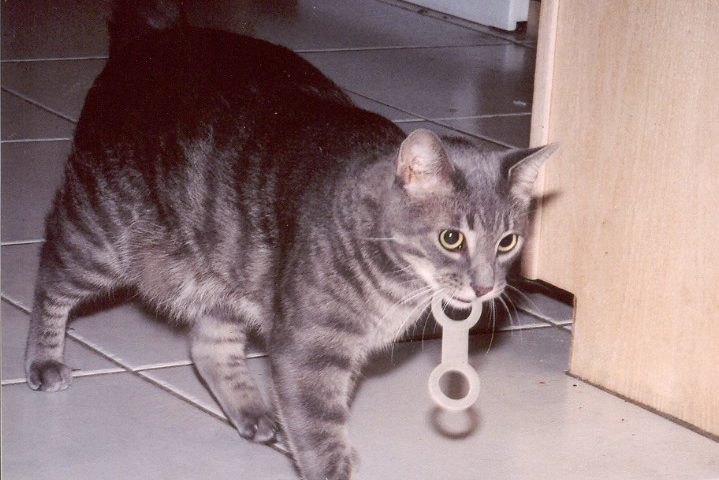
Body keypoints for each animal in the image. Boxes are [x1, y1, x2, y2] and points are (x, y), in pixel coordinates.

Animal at [23, 1, 556, 478]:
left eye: (508, 242)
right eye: (450, 238)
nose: (485, 287)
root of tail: (153, 36)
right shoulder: (309, 351)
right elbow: (320, 435)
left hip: (225, 269)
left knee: (207, 345)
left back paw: (252, 412)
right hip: (99, 236)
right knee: (50, 276)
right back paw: (44, 359)